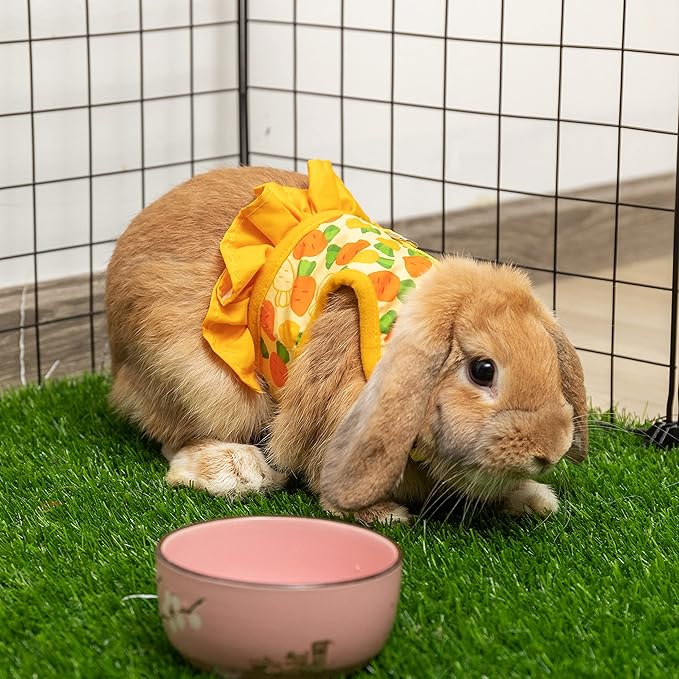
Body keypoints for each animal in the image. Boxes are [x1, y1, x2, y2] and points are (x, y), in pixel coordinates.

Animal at [106, 165, 588, 524]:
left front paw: (535, 499)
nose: (550, 450)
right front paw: (383, 515)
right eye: (483, 370)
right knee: (174, 439)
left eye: (550, 361)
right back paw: (239, 471)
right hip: (205, 386)